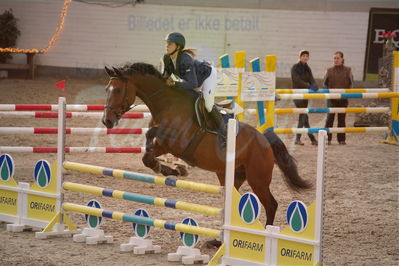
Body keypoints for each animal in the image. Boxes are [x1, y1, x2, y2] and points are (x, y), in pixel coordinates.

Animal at [101, 62, 310, 227]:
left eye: (117, 90)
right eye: (106, 90)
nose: (106, 121)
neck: (167, 104)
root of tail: (265, 140)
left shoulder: (175, 142)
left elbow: (152, 140)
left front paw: (175, 168)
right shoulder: (163, 145)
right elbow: (147, 154)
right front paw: (172, 169)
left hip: (258, 178)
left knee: (271, 205)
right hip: (231, 175)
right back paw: (216, 242)